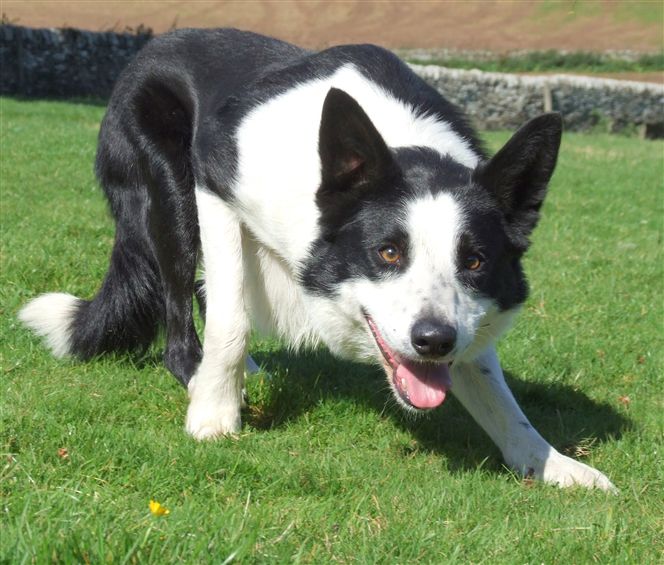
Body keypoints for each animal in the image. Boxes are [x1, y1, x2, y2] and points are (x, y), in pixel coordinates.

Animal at [19, 28, 614, 490]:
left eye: (474, 262)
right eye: (388, 252)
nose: (432, 341)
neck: (403, 147)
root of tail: (151, 47)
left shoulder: (464, 322)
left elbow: (492, 385)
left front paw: (547, 462)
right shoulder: (214, 185)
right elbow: (230, 321)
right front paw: (214, 412)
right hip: (171, 195)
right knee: (184, 310)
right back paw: (200, 375)